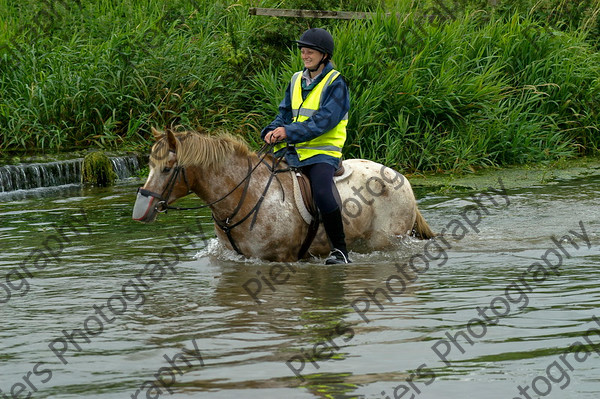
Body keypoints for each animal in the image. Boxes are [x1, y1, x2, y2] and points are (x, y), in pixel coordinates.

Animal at [132, 128, 432, 262]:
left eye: (167, 168)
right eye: (149, 165)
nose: (141, 212)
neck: (245, 195)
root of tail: (402, 178)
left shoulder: (282, 258)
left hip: (385, 242)